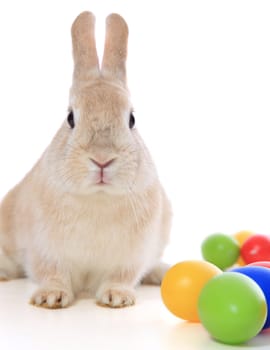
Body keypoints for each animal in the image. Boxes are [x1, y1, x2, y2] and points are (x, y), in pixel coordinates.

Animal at [0, 11, 173, 308]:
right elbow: (52, 274)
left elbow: (122, 277)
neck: (98, 197)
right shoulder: (45, 250)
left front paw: (117, 298)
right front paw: (50, 297)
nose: (102, 160)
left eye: (131, 119)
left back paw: (161, 273)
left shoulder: (131, 257)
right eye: (71, 118)